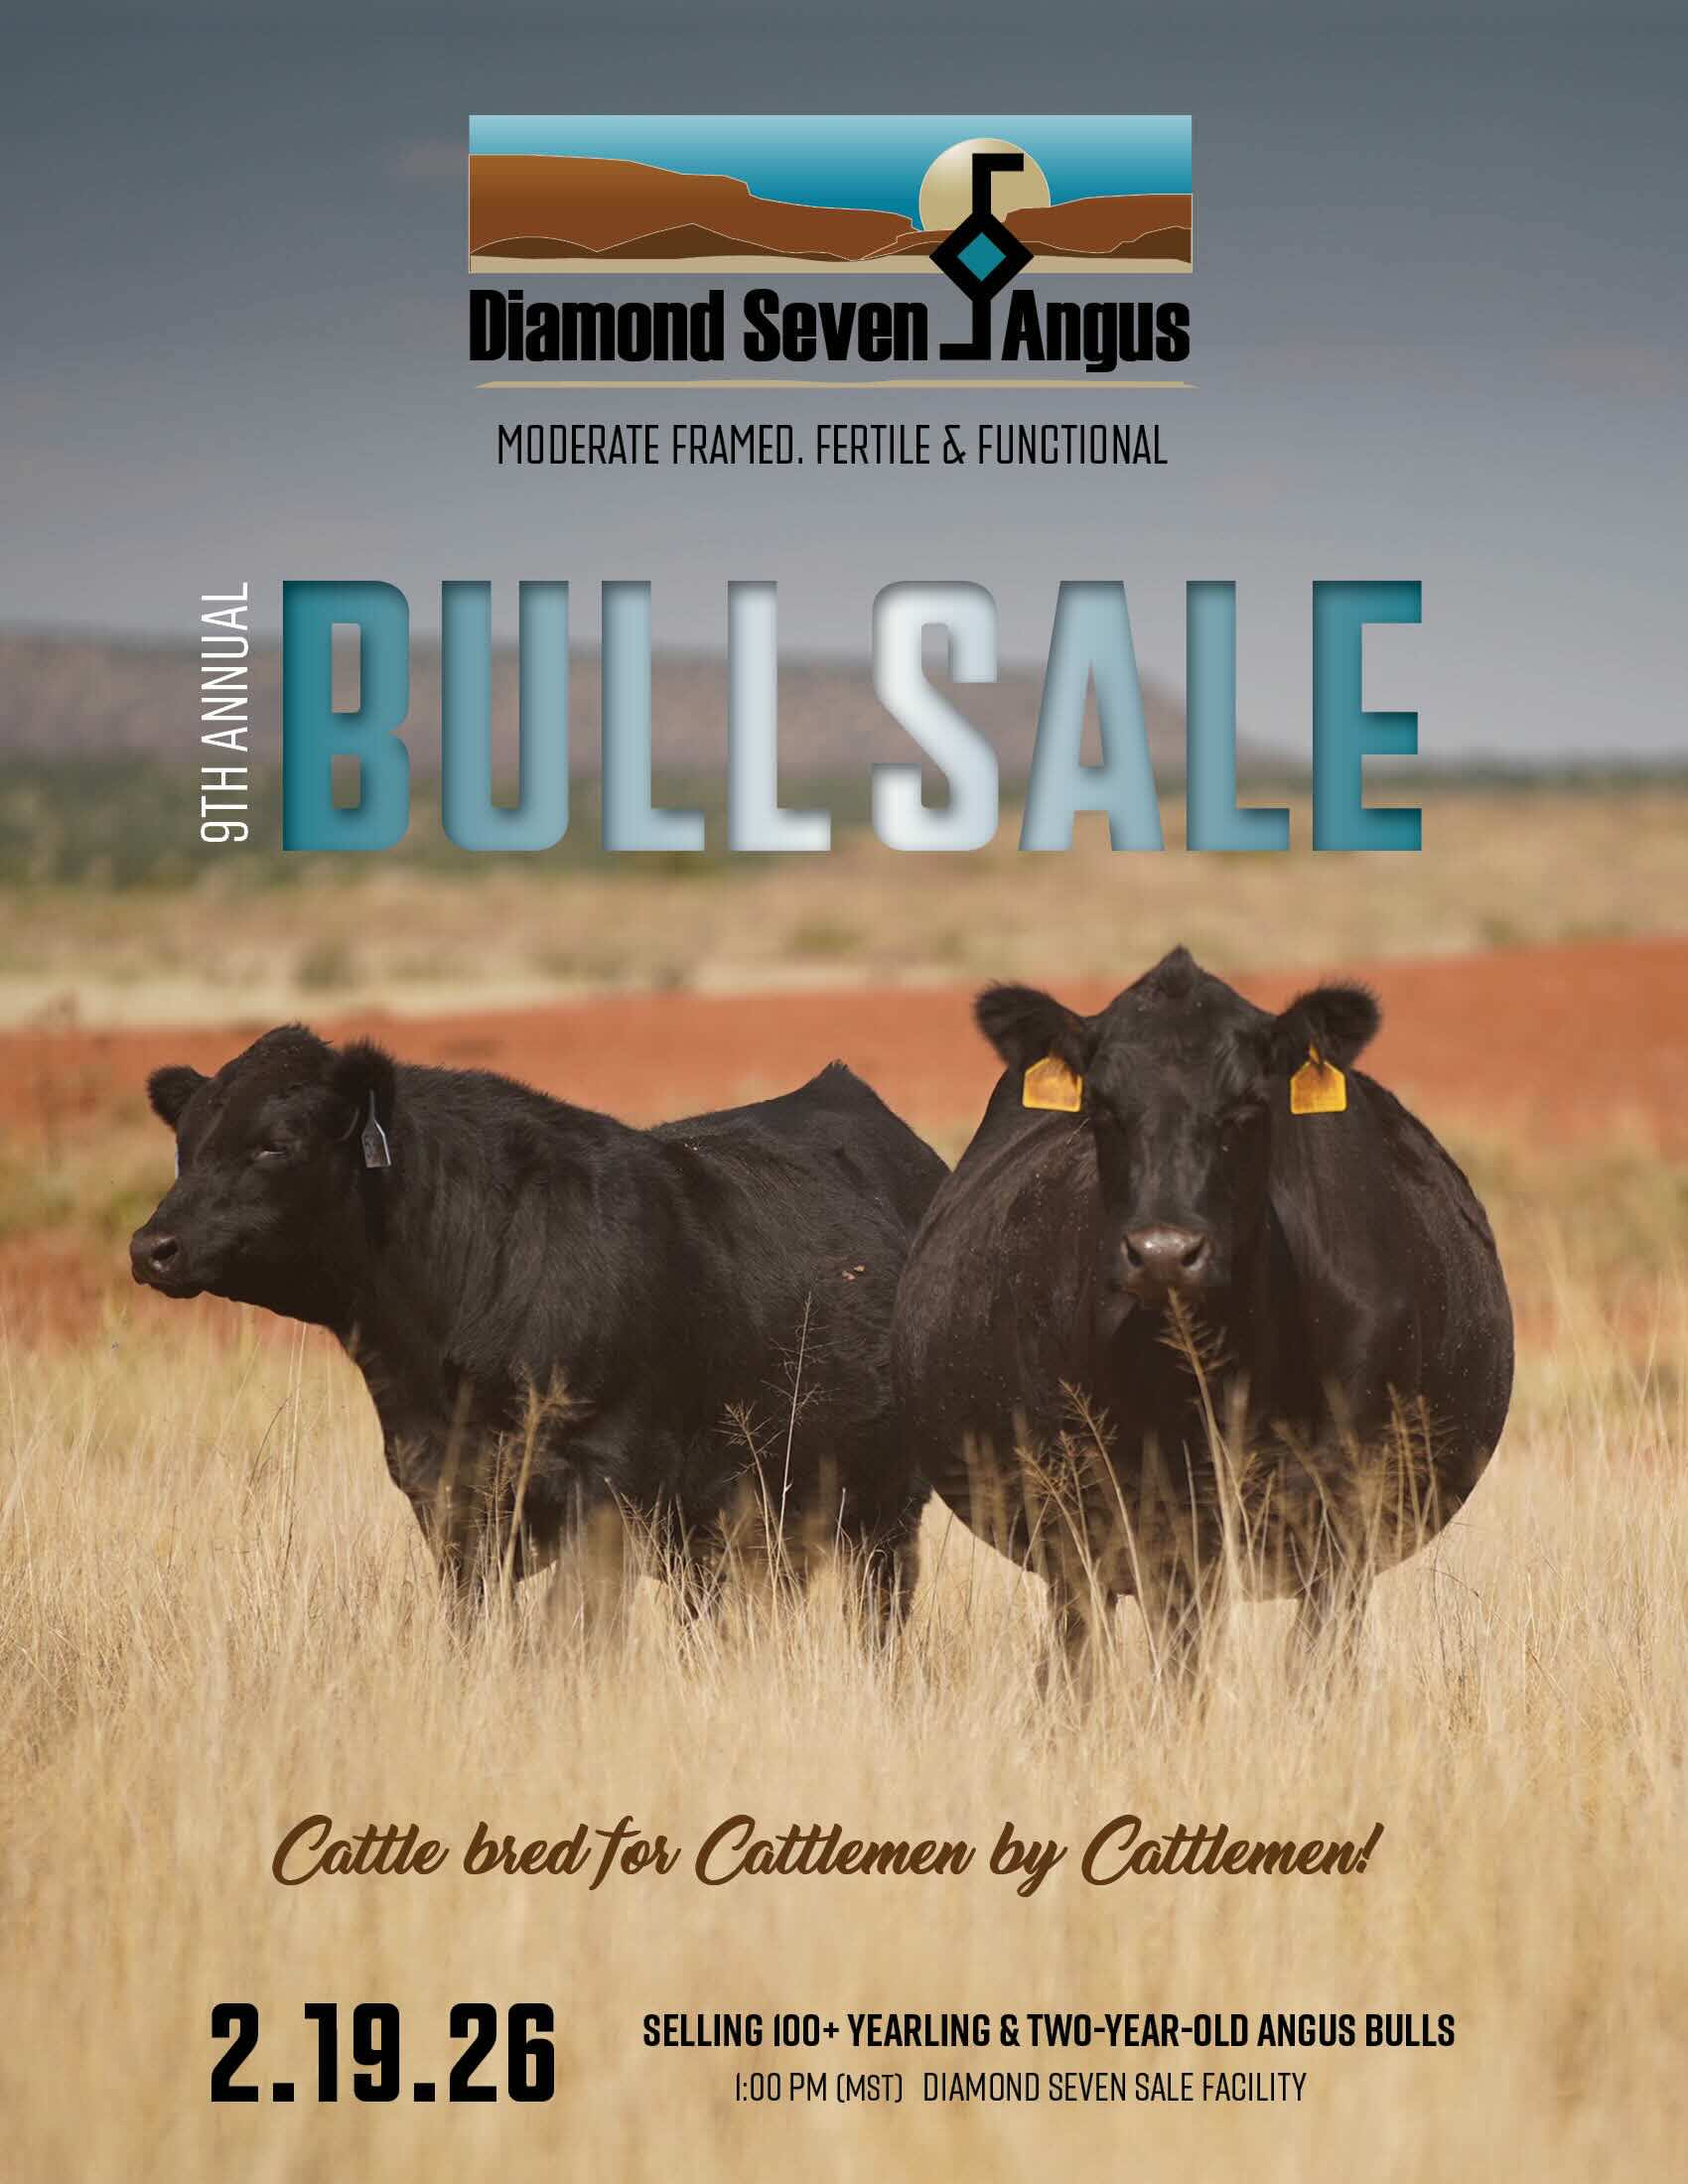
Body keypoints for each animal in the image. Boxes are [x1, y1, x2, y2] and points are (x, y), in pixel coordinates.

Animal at [130, 1026, 946, 1637]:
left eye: (276, 1142)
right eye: (185, 1146)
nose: (152, 1246)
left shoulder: (608, 1490)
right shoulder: (447, 1498)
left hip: (884, 1515)